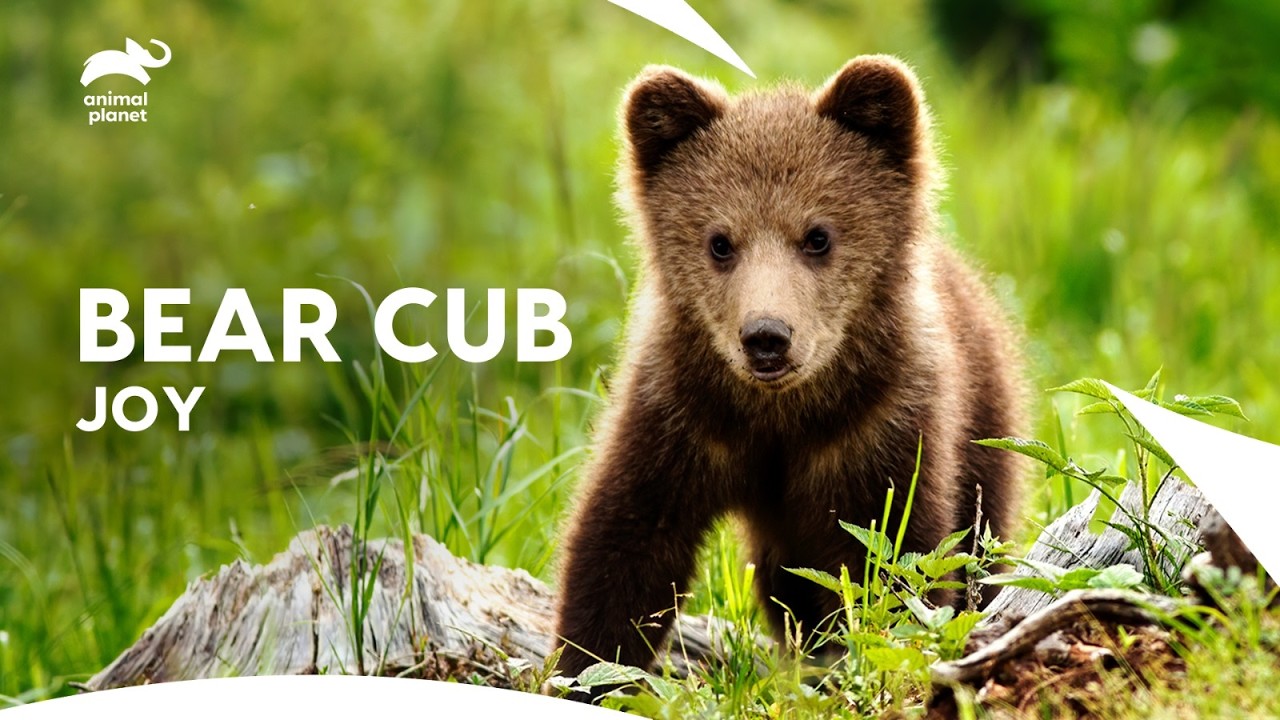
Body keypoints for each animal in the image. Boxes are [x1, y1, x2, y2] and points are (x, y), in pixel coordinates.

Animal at [554, 55, 1027, 680]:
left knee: (980, 542)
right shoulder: (681, 417)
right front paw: (585, 667)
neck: (781, 416)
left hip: (985, 424)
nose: (767, 337)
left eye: (818, 235)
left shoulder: (878, 429)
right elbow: (625, 543)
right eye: (720, 241)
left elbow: (896, 555)